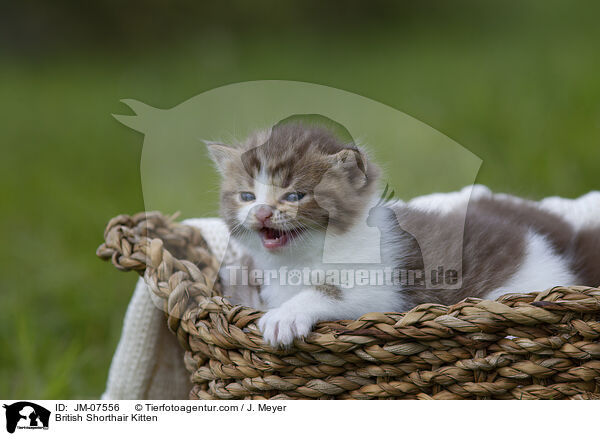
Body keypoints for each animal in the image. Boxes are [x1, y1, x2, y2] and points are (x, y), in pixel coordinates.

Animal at [207, 121, 600, 346]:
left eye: (294, 196)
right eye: (247, 196)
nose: (261, 212)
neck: (300, 259)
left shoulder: (386, 287)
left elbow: (334, 293)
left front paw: (285, 318)